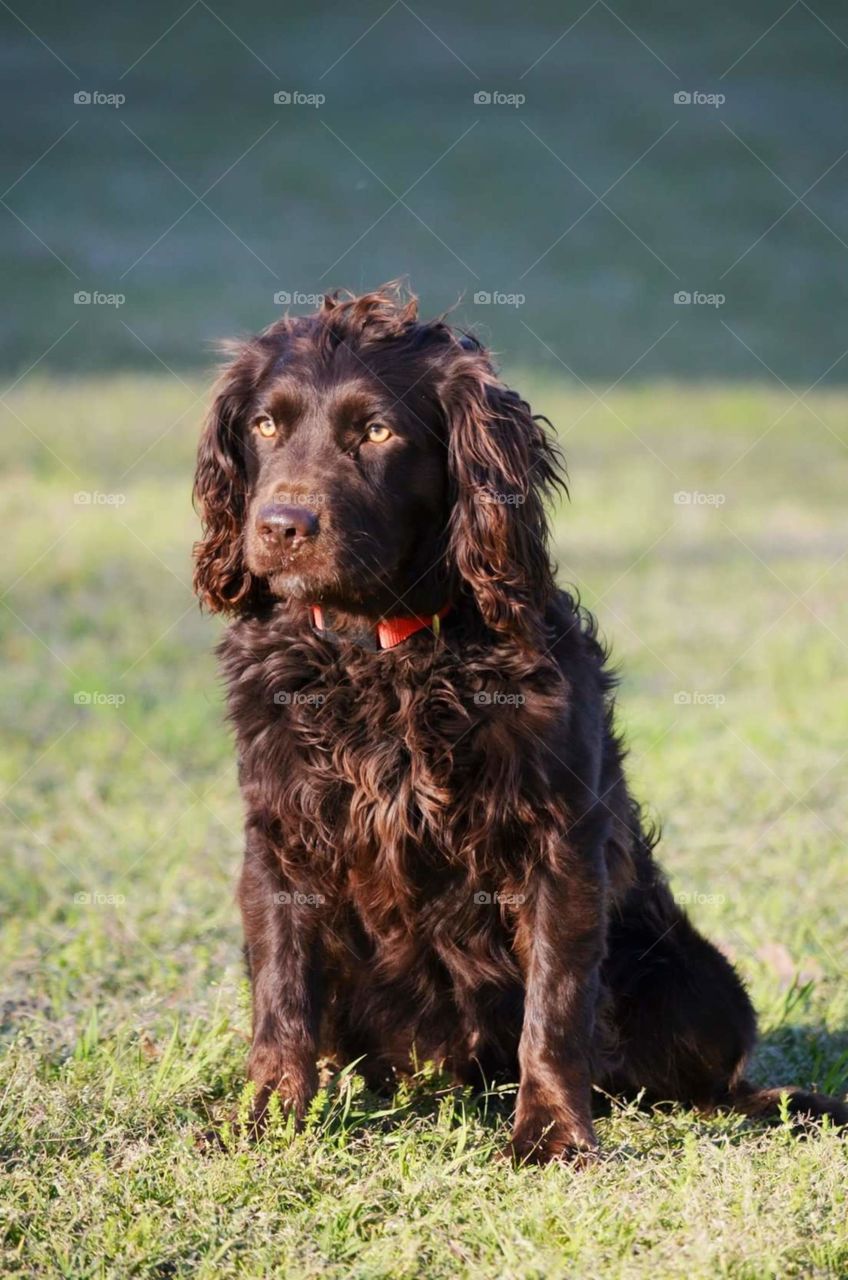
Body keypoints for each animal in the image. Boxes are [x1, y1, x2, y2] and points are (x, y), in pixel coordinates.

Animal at [194, 285, 848, 1167]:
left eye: (378, 432)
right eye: (265, 425)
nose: (281, 526)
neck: (386, 656)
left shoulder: (558, 843)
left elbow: (557, 1007)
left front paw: (551, 1134)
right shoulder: (281, 838)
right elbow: (281, 996)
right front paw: (266, 1117)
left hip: (696, 979)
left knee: (715, 1086)